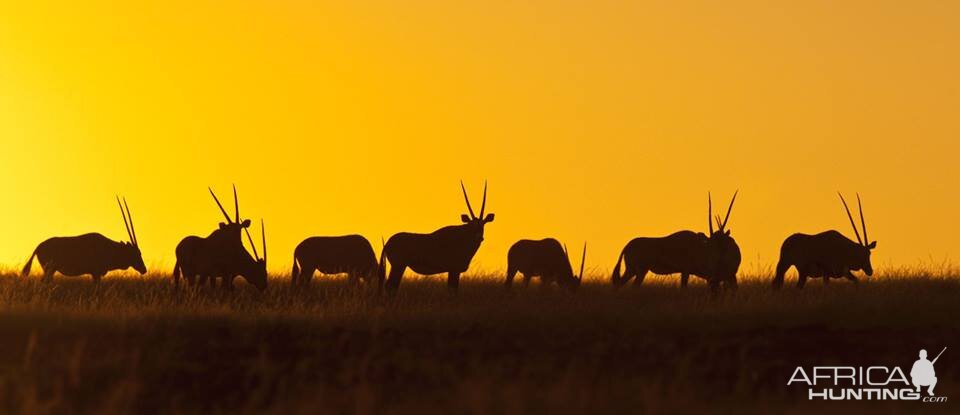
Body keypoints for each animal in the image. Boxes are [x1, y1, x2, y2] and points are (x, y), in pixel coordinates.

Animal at [612, 193, 740, 292]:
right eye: (711, 244)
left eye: (722, 243)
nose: (718, 258)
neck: (699, 247)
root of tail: (627, 246)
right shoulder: (686, 271)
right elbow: (683, 288)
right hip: (637, 270)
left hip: (636, 271)